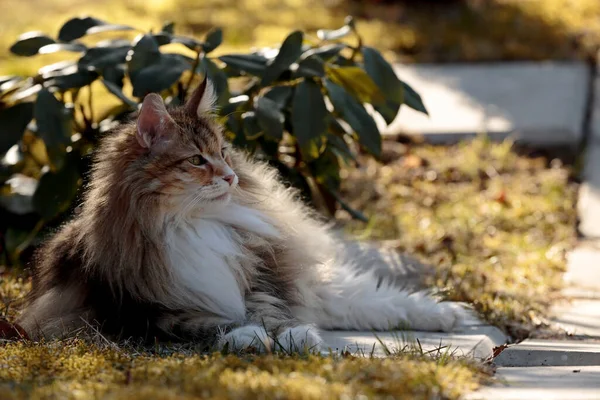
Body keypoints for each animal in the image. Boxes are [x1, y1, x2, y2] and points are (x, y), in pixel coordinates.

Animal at [17, 78, 468, 354]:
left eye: (223, 152)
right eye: (197, 160)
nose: (231, 177)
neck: (192, 225)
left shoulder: (260, 277)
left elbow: (270, 311)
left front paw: (292, 337)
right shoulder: (140, 311)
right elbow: (207, 322)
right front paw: (248, 337)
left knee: (368, 298)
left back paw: (448, 315)